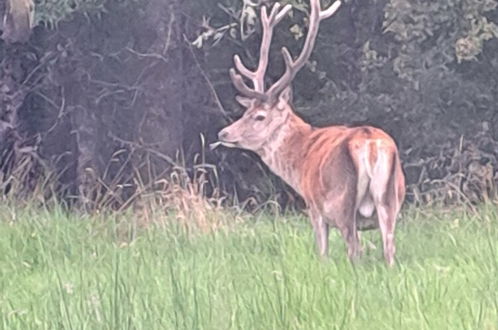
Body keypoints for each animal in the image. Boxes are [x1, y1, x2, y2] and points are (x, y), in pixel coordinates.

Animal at [213, 0, 404, 264]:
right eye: (246, 110)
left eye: (259, 116)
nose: (223, 133)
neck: (300, 159)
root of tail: (369, 143)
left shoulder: (314, 207)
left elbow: (322, 251)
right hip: (390, 202)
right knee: (389, 249)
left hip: (341, 203)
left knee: (354, 250)